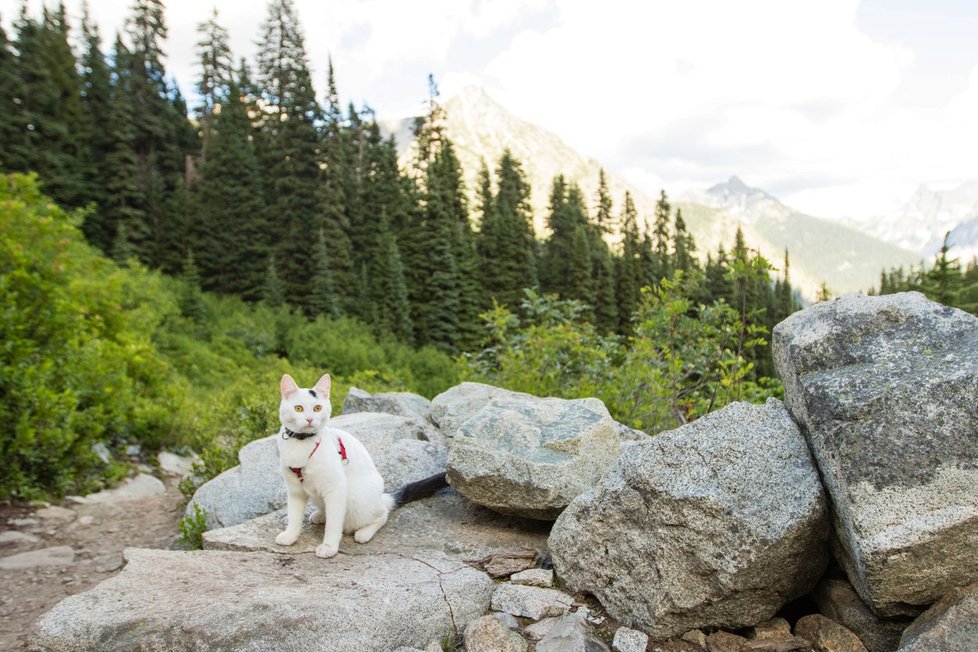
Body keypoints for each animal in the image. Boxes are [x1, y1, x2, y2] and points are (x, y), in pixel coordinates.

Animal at [274, 374, 442, 556]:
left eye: (317, 408)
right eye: (298, 408)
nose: (310, 419)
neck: (301, 443)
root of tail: (381, 497)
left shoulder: (336, 488)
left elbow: (334, 524)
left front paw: (329, 547)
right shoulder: (294, 490)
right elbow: (294, 516)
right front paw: (290, 536)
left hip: (356, 500)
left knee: (382, 515)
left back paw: (364, 533)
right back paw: (321, 515)